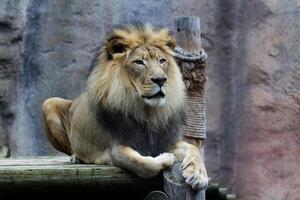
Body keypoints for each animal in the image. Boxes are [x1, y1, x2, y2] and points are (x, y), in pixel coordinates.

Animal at [41, 24, 209, 189]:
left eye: (162, 61)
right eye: (139, 62)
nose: (161, 79)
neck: (147, 113)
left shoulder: (164, 141)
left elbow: (192, 148)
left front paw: (199, 174)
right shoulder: (116, 148)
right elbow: (144, 164)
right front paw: (166, 157)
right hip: (48, 103)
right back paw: (76, 157)